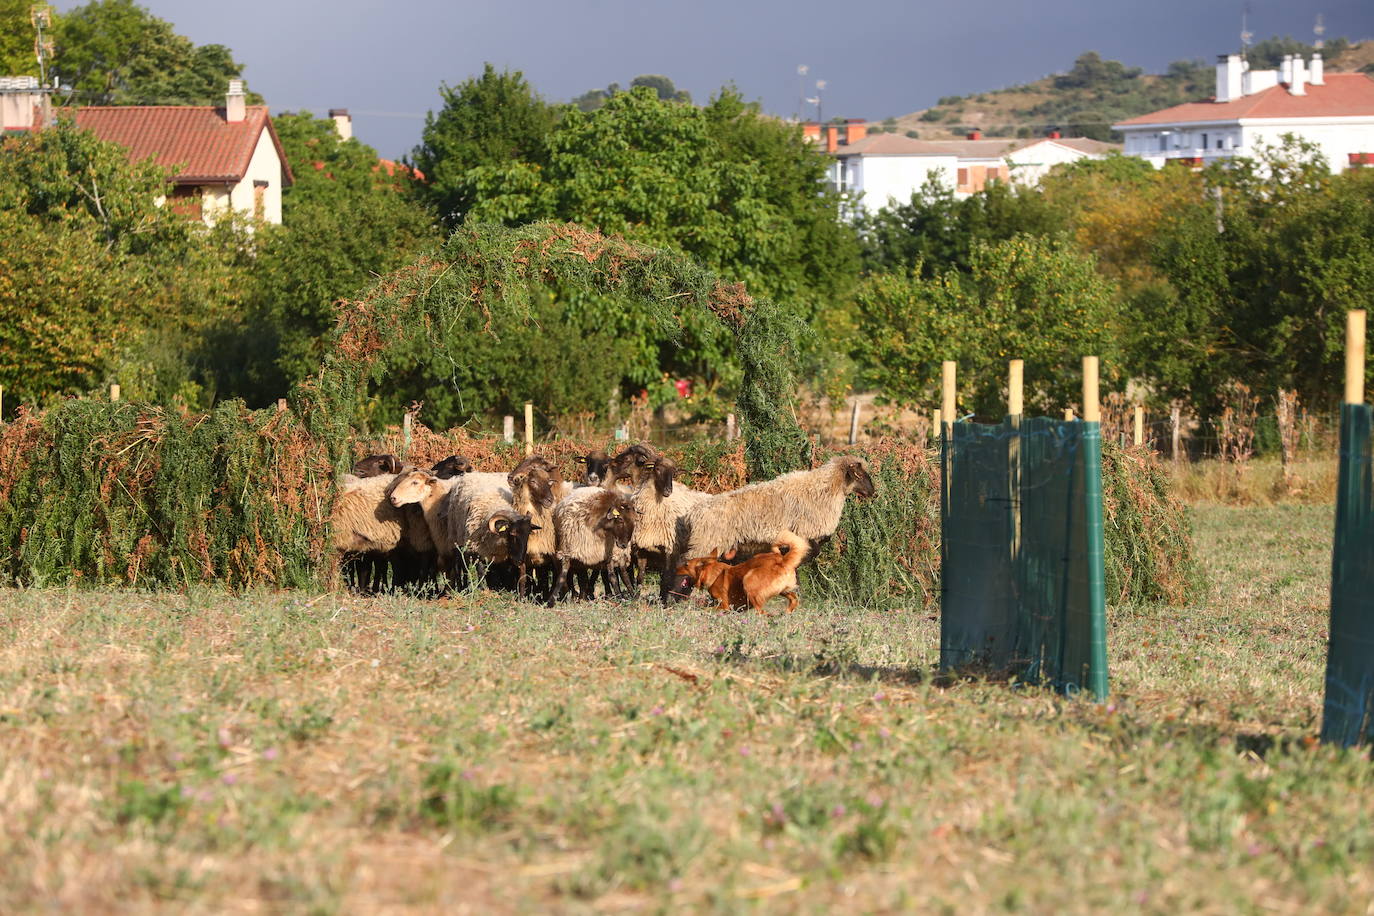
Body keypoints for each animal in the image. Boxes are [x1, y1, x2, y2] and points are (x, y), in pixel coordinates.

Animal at [667, 458, 879, 601]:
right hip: (706, 542)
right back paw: (673, 598)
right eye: (860, 475)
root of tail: (693, 513)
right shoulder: (804, 532)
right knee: (683, 564)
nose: (873, 493)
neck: (824, 490)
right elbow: (809, 553)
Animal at [673, 530, 807, 615]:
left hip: (748, 580)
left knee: (763, 612)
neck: (715, 574)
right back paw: (786, 614)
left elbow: (702, 609)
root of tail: (783, 560)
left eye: (686, 564)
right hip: (784, 590)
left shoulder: (724, 606)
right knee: (794, 599)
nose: (674, 569)